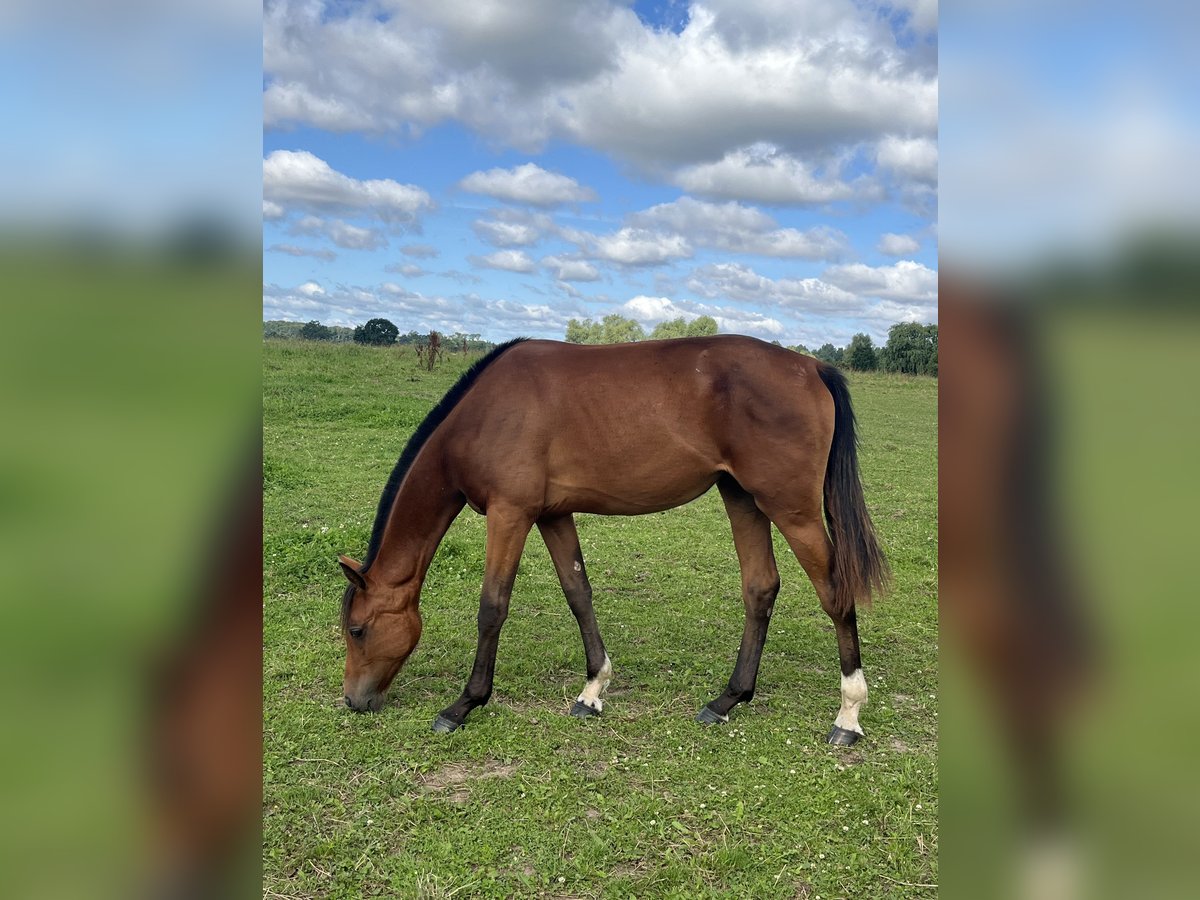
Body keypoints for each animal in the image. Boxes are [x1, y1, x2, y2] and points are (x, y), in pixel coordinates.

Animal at [333, 336, 888, 744]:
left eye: (357, 630)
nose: (354, 701)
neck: (484, 413)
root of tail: (811, 366)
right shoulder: (552, 515)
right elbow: (578, 594)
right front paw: (592, 689)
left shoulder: (510, 514)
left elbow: (492, 607)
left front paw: (463, 705)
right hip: (743, 498)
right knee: (760, 589)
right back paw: (726, 700)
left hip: (791, 509)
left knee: (834, 593)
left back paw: (848, 716)